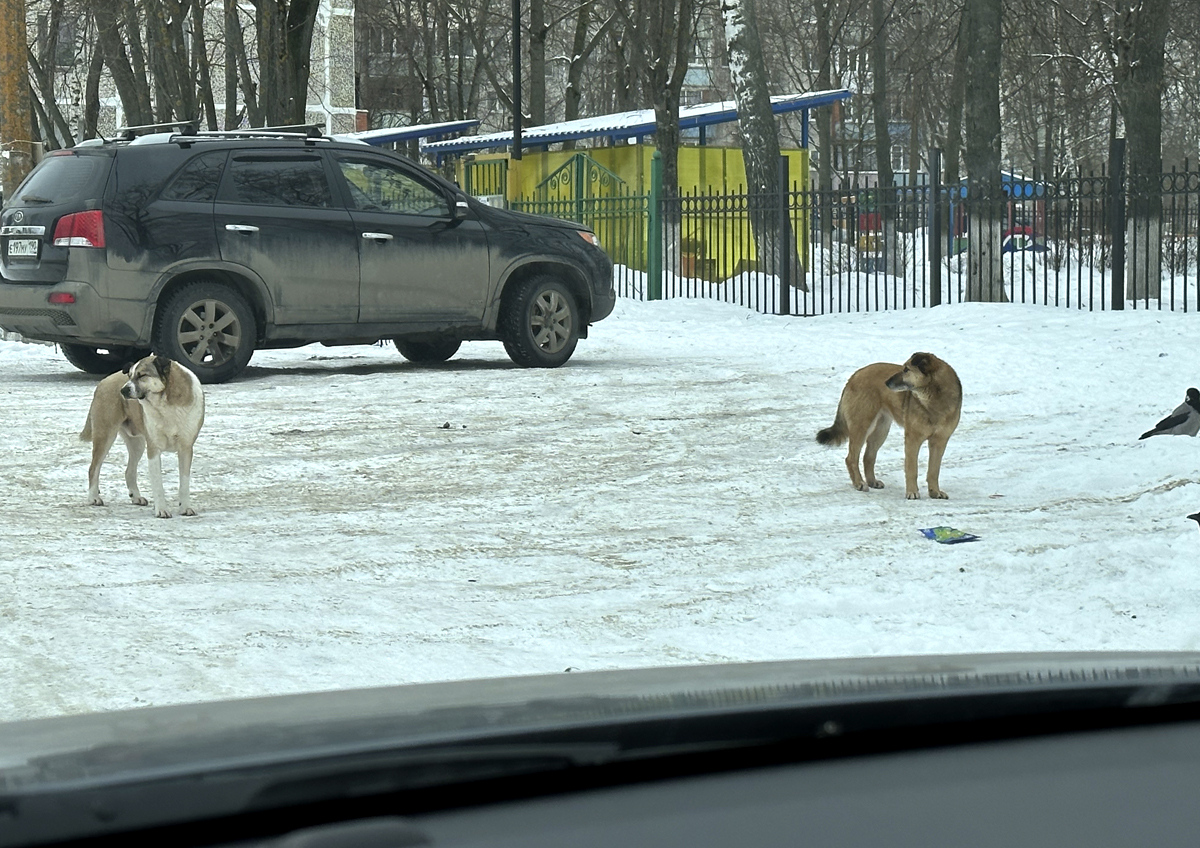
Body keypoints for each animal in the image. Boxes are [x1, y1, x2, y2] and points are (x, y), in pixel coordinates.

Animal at [81, 352, 205, 518]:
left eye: (142, 375)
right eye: (130, 376)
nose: (123, 391)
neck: (167, 402)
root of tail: (104, 381)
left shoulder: (186, 448)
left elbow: (184, 482)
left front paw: (185, 508)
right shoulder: (153, 449)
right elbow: (158, 485)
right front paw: (162, 510)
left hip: (137, 443)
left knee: (129, 471)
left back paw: (136, 497)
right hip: (105, 435)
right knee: (93, 468)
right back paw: (93, 498)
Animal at [816, 352, 964, 496]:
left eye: (906, 370)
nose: (886, 382)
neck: (933, 399)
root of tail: (855, 375)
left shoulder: (939, 442)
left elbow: (934, 471)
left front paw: (935, 492)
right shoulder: (913, 439)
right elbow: (912, 469)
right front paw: (912, 492)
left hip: (881, 431)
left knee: (868, 457)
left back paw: (872, 481)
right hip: (862, 427)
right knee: (851, 458)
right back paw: (859, 483)